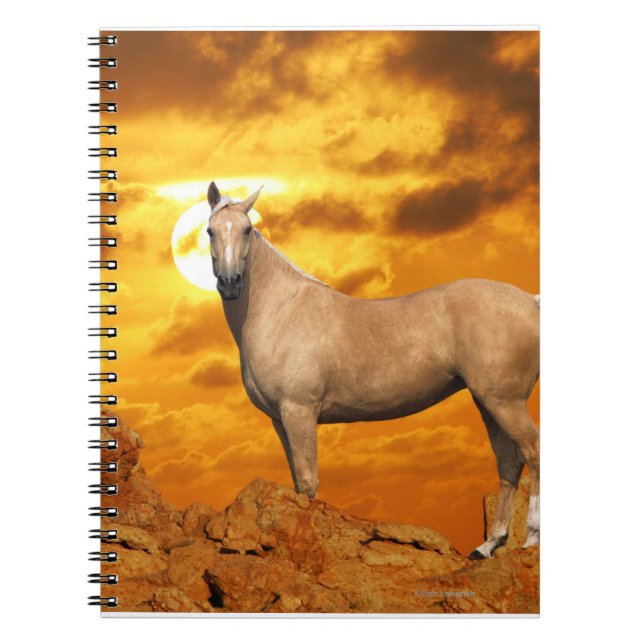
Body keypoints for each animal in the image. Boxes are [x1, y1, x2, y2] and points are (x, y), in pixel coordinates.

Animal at [205, 181, 540, 559]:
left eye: (247, 229)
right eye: (211, 230)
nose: (230, 283)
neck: (281, 311)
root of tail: (530, 301)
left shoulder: (299, 412)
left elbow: (307, 482)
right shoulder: (280, 419)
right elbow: (296, 482)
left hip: (506, 402)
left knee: (533, 452)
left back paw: (531, 538)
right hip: (488, 402)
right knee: (509, 462)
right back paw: (488, 545)